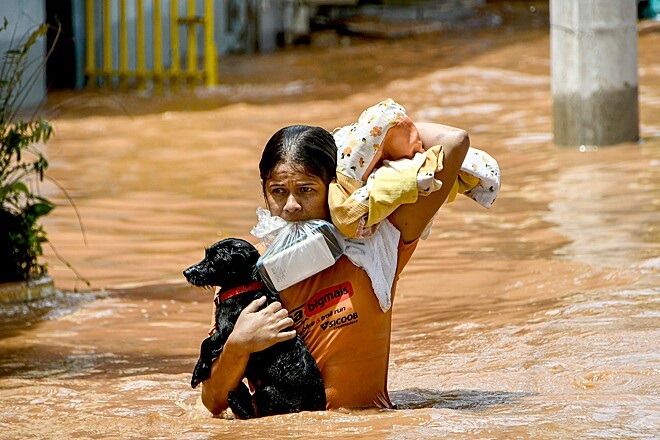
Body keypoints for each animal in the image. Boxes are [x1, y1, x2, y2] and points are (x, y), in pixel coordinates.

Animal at [182, 239, 326, 418]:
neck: (245, 288)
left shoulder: (225, 330)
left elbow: (206, 343)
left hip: (268, 392)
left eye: (214, 260)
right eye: (206, 255)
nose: (186, 272)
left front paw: (198, 373)